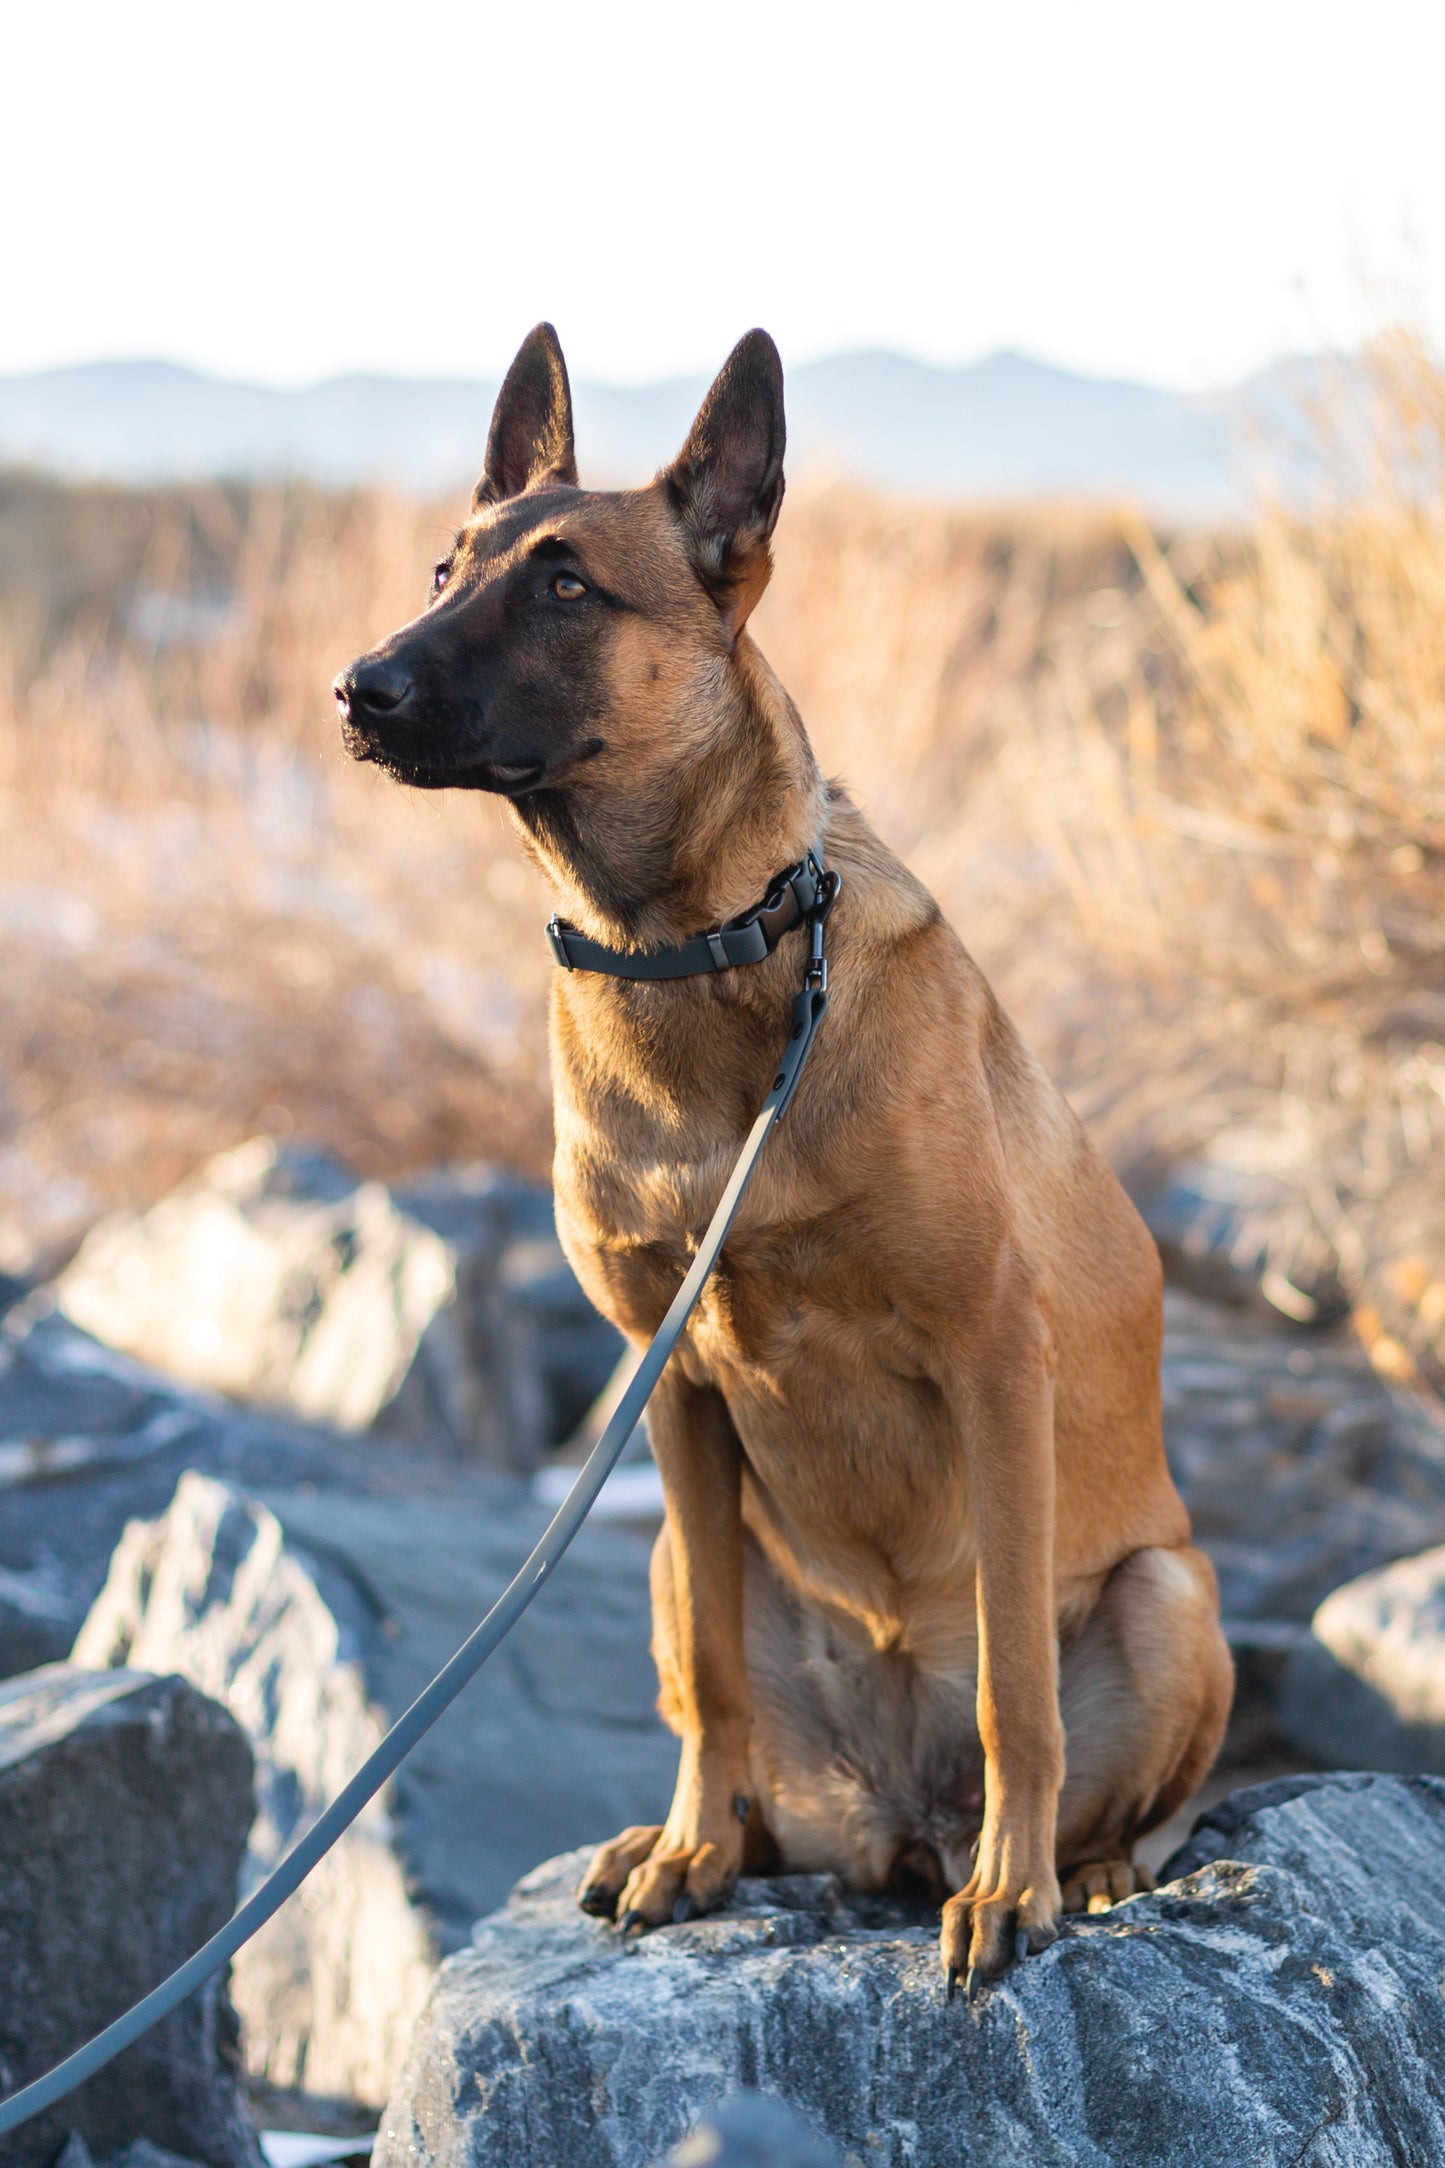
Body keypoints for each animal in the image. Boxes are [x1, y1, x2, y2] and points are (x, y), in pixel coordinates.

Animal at [335, 320, 1230, 1994]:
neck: (692, 950)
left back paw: (1071, 1868)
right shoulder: (675, 1385)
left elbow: (1018, 1685)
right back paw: (715, 1836)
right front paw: (691, 1849)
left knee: (1128, 1789)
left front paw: (1014, 1891)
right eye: (443, 569)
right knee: (730, 1698)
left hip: (1168, 1593)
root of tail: (898, 1820)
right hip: (683, 1556)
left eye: (567, 585)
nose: (356, 688)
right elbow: (708, 1677)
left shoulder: (994, 1355)